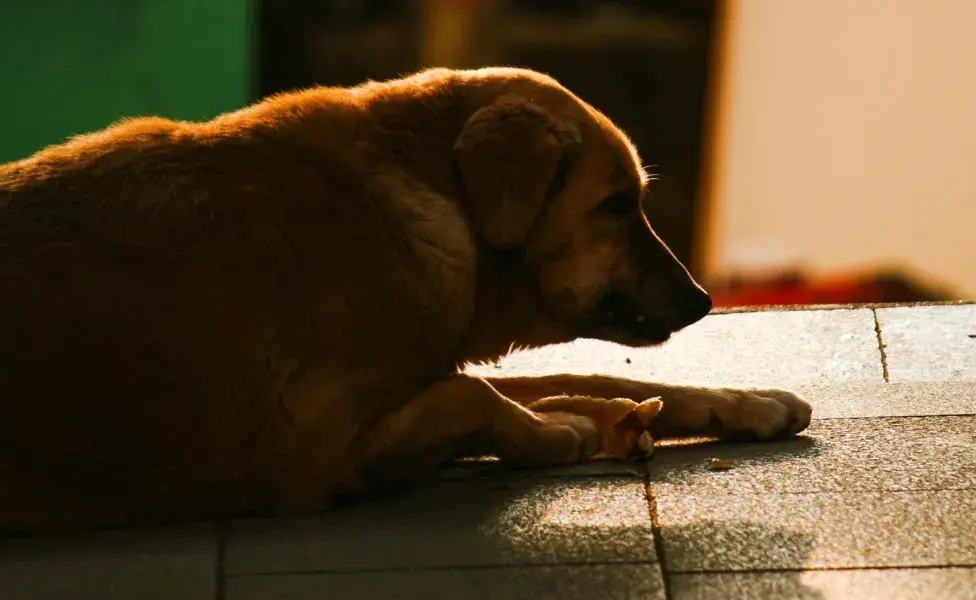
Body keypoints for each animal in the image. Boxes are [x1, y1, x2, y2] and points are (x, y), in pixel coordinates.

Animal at [0, 68, 812, 532]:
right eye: (616, 206)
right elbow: (476, 395)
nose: (703, 300)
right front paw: (557, 430)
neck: (419, 189)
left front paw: (742, 403)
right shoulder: (316, 452)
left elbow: (590, 374)